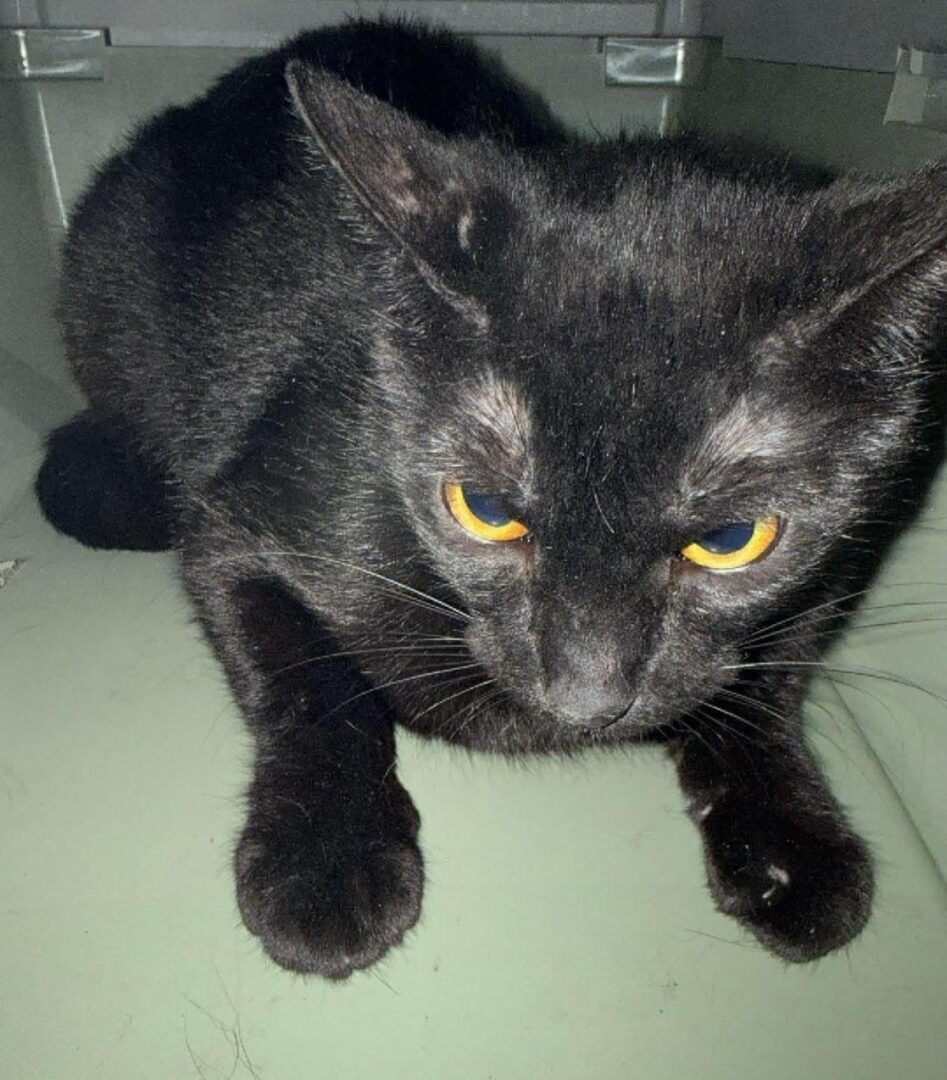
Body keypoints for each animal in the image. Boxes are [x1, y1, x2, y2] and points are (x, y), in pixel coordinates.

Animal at [35, 18, 947, 978]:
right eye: (484, 508)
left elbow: (770, 683)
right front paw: (325, 862)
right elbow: (308, 689)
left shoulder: (842, 559)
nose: (586, 696)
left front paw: (792, 844)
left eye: (732, 537)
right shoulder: (247, 526)